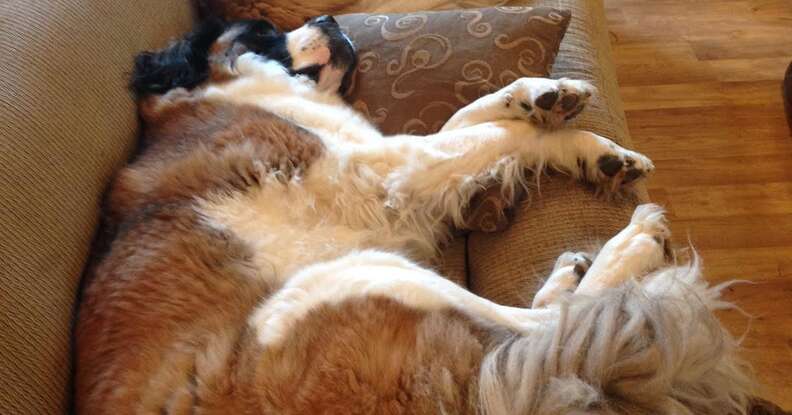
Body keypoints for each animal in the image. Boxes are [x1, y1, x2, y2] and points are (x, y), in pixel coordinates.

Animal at [76, 16, 756, 415]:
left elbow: (473, 121)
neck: (223, 83)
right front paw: (554, 124)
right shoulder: (384, 166)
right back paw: (629, 248)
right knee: (542, 329)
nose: (328, 16)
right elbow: (491, 138)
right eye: (261, 28)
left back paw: (570, 271)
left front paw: (569, 120)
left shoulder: (393, 159)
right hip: (350, 279)